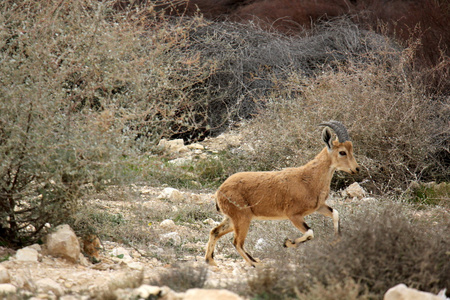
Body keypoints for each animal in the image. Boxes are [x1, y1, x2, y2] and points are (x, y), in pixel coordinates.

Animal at [206, 120, 360, 266]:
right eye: (342, 152)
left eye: (351, 148)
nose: (356, 169)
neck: (309, 178)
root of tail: (220, 191)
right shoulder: (293, 215)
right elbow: (310, 232)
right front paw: (287, 242)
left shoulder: (319, 206)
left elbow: (335, 214)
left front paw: (335, 241)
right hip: (242, 218)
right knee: (237, 242)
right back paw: (256, 264)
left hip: (232, 219)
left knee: (215, 231)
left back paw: (212, 262)